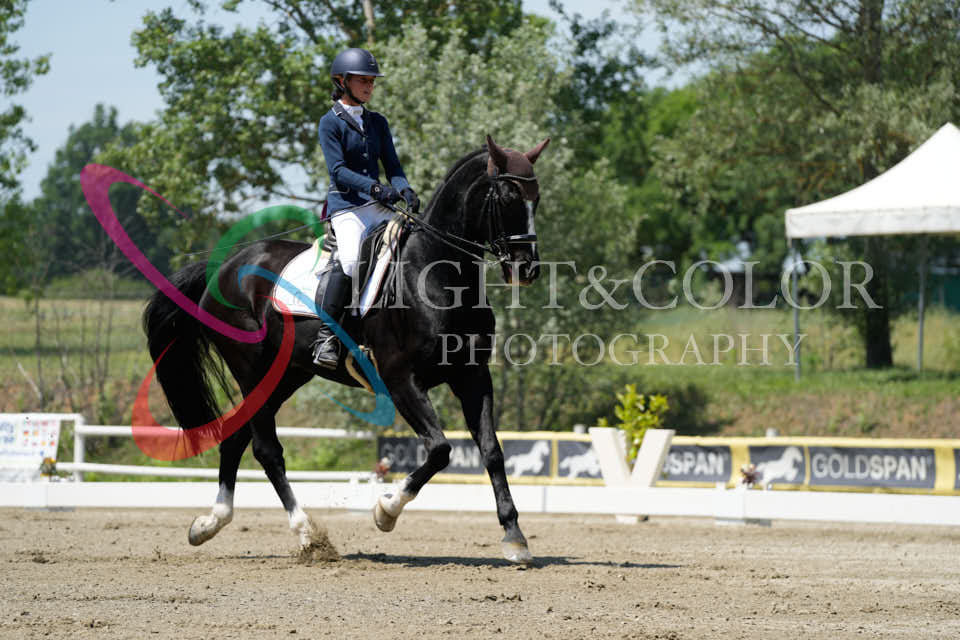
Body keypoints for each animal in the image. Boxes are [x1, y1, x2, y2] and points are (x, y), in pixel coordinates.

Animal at [142, 135, 550, 564]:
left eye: (536, 198)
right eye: (508, 195)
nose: (527, 270)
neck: (438, 276)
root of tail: (225, 266)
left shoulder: (472, 376)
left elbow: (492, 450)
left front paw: (515, 537)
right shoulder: (401, 380)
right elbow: (439, 449)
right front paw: (385, 511)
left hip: (287, 376)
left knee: (237, 436)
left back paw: (209, 523)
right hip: (252, 368)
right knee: (266, 449)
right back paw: (306, 533)